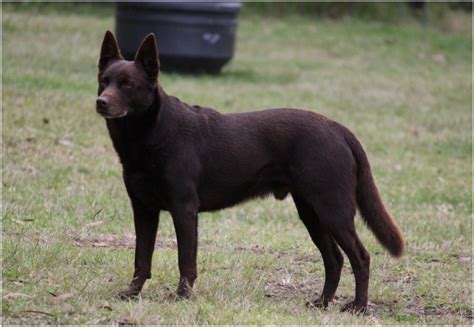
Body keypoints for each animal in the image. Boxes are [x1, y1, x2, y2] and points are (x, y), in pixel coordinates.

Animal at [96, 31, 404, 316]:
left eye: (127, 84)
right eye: (104, 81)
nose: (101, 102)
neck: (151, 135)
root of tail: (337, 127)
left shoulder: (184, 209)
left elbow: (186, 260)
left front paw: (182, 297)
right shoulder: (143, 209)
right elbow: (141, 258)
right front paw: (132, 293)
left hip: (333, 210)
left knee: (360, 257)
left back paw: (359, 307)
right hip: (312, 213)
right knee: (335, 259)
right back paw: (322, 303)